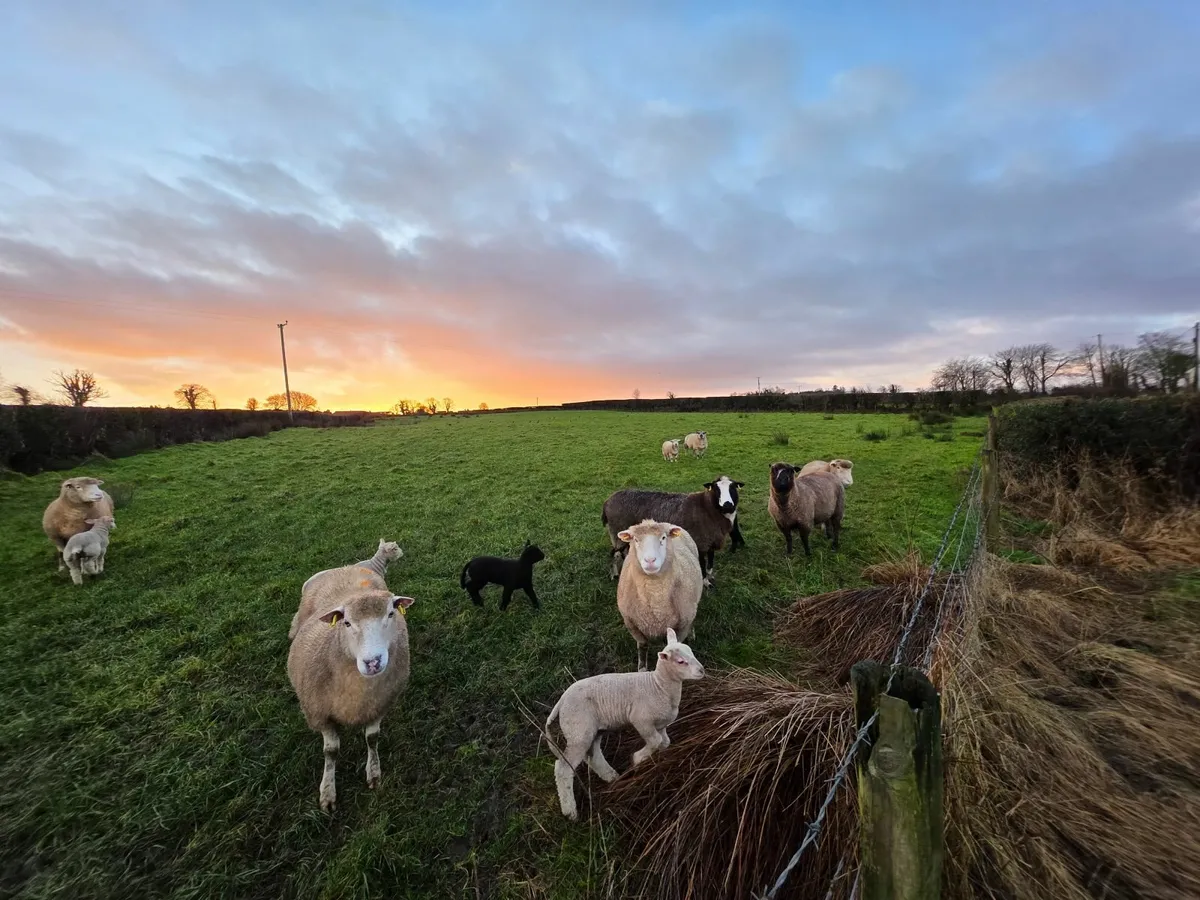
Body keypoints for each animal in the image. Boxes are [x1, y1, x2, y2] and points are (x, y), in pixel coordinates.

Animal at [286, 583, 416, 811]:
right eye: (346, 622)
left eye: (391, 614)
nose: (372, 662)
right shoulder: (320, 714)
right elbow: (331, 751)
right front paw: (327, 791)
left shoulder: (378, 705)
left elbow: (372, 738)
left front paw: (373, 771)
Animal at [543, 627, 705, 820]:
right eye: (681, 661)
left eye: (690, 651)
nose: (702, 671)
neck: (659, 686)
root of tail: (561, 702)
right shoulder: (641, 720)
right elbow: (655, 741)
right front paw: (637, 759)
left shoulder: (660, 724)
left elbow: (665, 742)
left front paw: (657, 757)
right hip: (578, 730)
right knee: (563, 768)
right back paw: (570, 812)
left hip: (592, 730)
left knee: (593, 756)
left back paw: (611, 776)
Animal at [601, 475, 745, 586]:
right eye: (716, 489)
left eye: (733, 488)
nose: (727, 505)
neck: (707, 508)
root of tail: (607, 501)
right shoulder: (700, 542)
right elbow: (702, 566)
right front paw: (705, 583)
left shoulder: (711, 540)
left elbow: (710, 563)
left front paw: (710, 577)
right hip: (617, 531)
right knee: (614, 553)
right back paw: (614, 575)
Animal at [615, 519, 705, 671]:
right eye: (636, 540)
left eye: (663, 538)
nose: (650, 560)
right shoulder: (632, 625)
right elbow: (643, 646)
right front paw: (642, 669)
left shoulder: (681, 626)